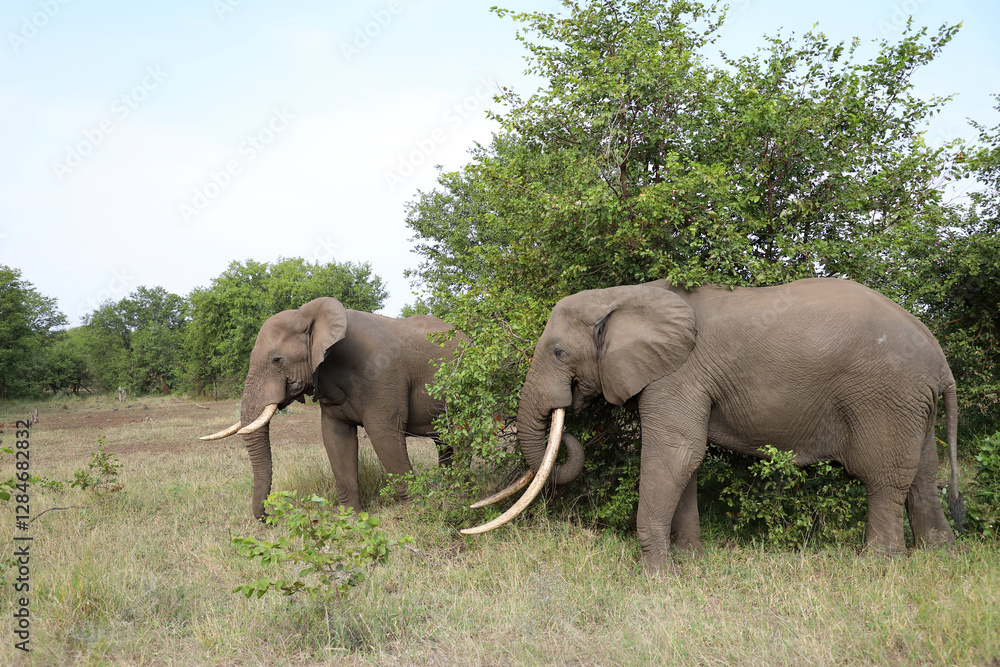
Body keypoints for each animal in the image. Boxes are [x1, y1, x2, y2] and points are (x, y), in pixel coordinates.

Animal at [201, 297, 462, 519]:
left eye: (277, 360)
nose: (268, 517)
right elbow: (336, 438)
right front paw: (350, 517)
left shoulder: (382, 375)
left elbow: (384, 435)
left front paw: (415, 510)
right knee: (444, 442)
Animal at [463, 278, 964, 574]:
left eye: (559, 352)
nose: (566, 418)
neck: (627, 295)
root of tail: (940, 361)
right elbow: (686, 461)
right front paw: (689, 562)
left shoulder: (677, 375)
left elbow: (676, 453)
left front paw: (657, 577)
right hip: (912, 402)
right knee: (922, 474)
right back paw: (938, 555)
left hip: (885, 396)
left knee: (882, 477)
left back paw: (878, 566)